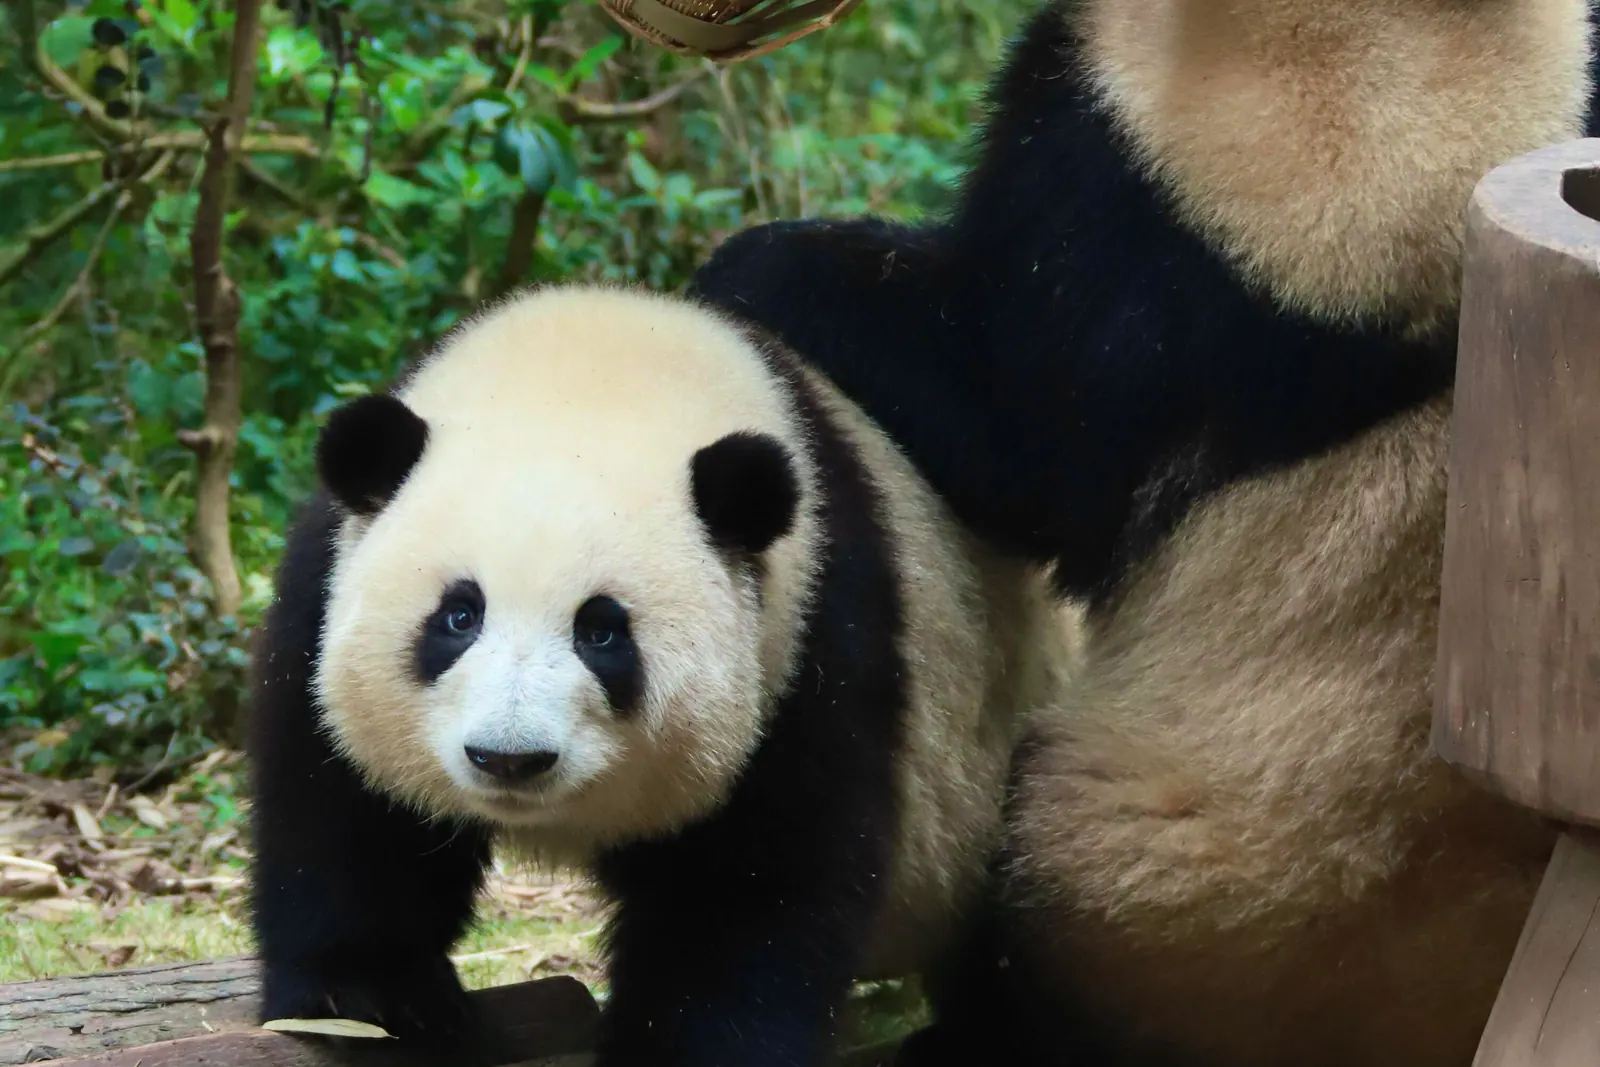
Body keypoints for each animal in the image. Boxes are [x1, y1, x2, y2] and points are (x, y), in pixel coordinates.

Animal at [244, 284, 1067, 1067]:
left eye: (602, 631)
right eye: (458, 616)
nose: (510, 758)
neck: (598, 373)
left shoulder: (815, 640)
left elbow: (751, 891)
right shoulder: (326, 579)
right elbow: (343, 805)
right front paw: (377, 998)